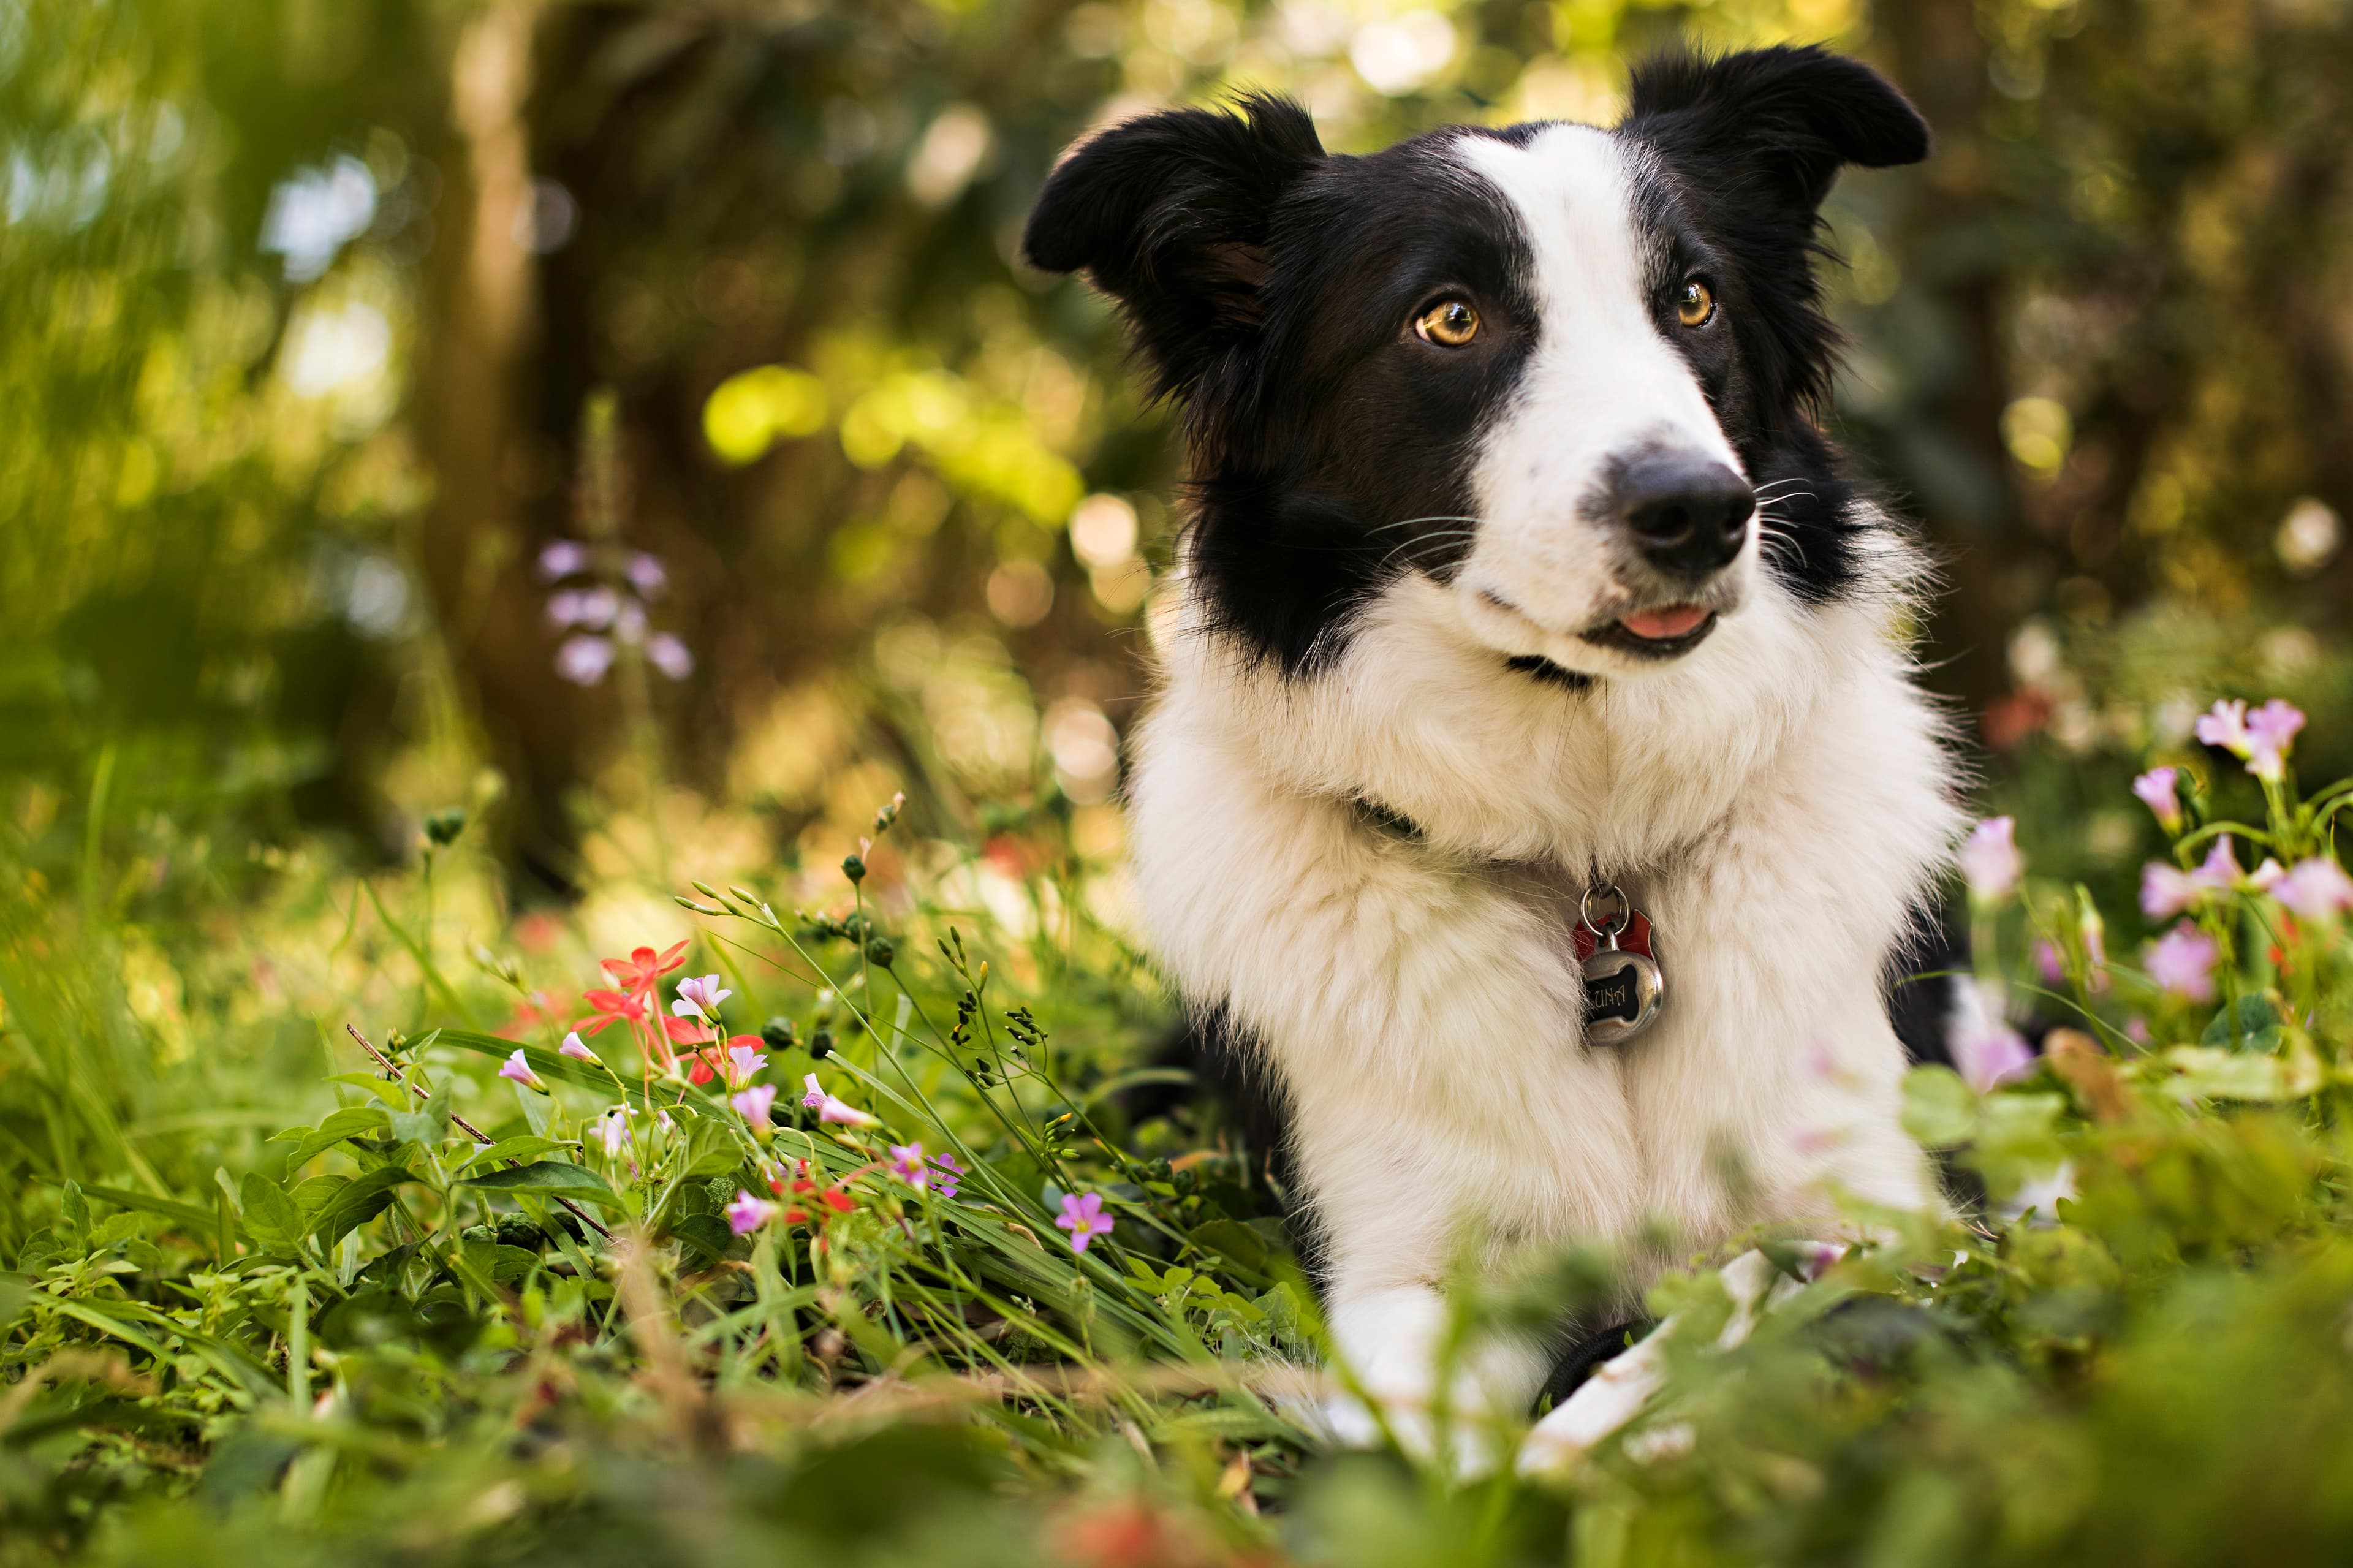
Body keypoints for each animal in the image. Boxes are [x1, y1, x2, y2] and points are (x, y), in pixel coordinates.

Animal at [1021, 42, 1957, 1460]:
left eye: (1694, 300)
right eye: (1449, 320)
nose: (1700, 510)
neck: (1589, 857)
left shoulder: (1906, 1211)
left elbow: (1762, 1301)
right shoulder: (1403, 1280)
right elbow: (1454, 1455)